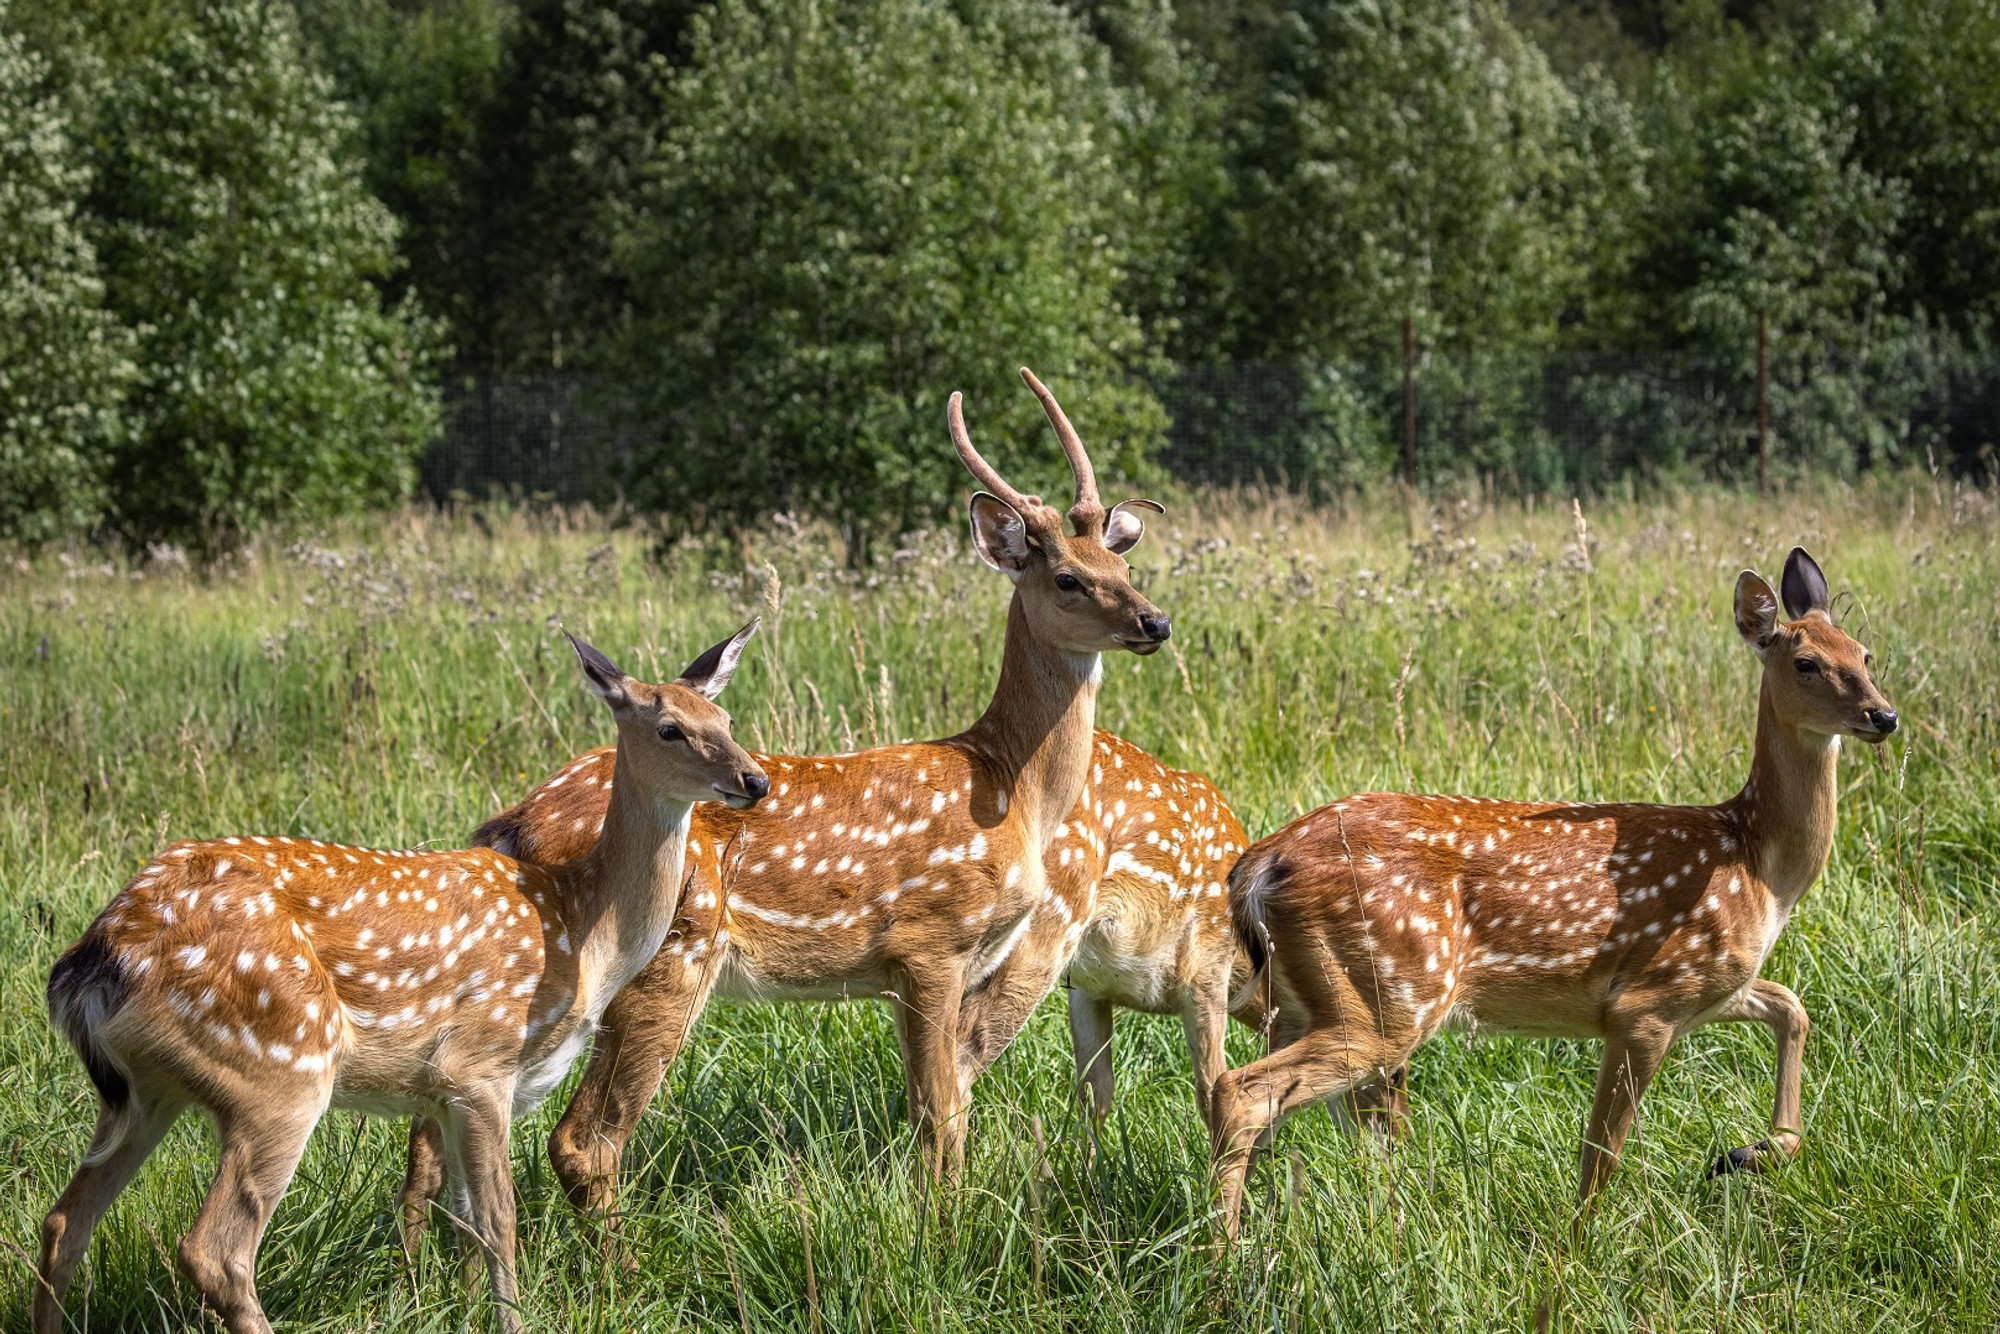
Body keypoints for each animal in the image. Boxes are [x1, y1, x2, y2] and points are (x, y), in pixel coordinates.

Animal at [41, 628, 772, 1334]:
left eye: (727, 717)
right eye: (670, 727)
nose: (755, 779)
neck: (583, 931)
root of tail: (97, 956)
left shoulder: (444, 1093)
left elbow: (466, 1219)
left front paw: (461, 1310)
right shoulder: (480, 1065)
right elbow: (500, 1221)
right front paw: (513, 1321)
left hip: (144, 1092)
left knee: (63, 1223)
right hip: (278, 1072)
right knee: (214, 1250)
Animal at [1208, 548, 1896, 1240]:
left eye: (1865, 654)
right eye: (1806, 662)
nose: (1884, 716)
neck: (1757, 864)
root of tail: (1259, 864)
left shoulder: (1714, 986)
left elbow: (1792, 1006)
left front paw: (1753, 1152)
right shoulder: (1649, 1001)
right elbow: (1602, 1150)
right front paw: (1579, 1244)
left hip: (1308, 999)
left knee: (1275, 1105)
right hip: (1388, 995)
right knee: (1244, 1092)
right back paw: (1225, 1251)